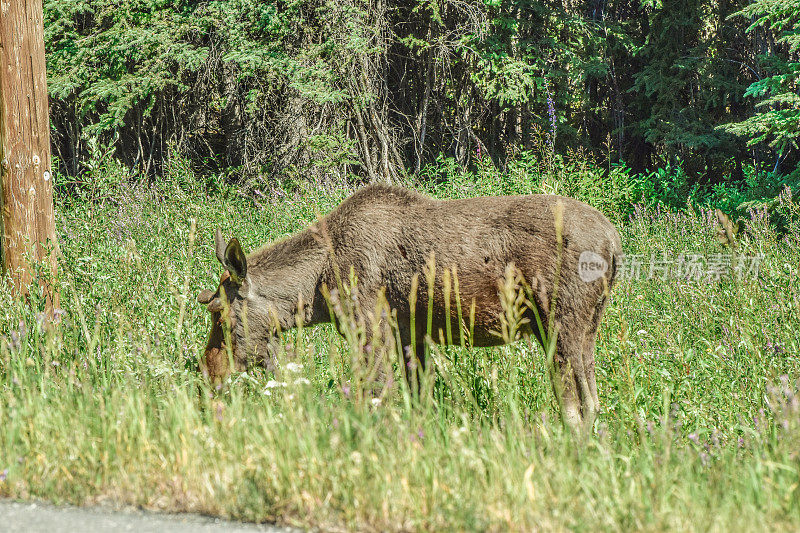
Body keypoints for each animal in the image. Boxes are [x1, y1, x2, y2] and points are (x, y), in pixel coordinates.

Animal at [197, 183, 620, 428]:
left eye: (219, 315)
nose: (209, 373)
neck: (315, 290)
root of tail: (615, 244)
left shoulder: (370, 325)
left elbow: (375, 396)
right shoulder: (410, 332)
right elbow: (418, 399)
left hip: (559, 323)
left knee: (578, 405)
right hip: (588, 327)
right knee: (593, 400)